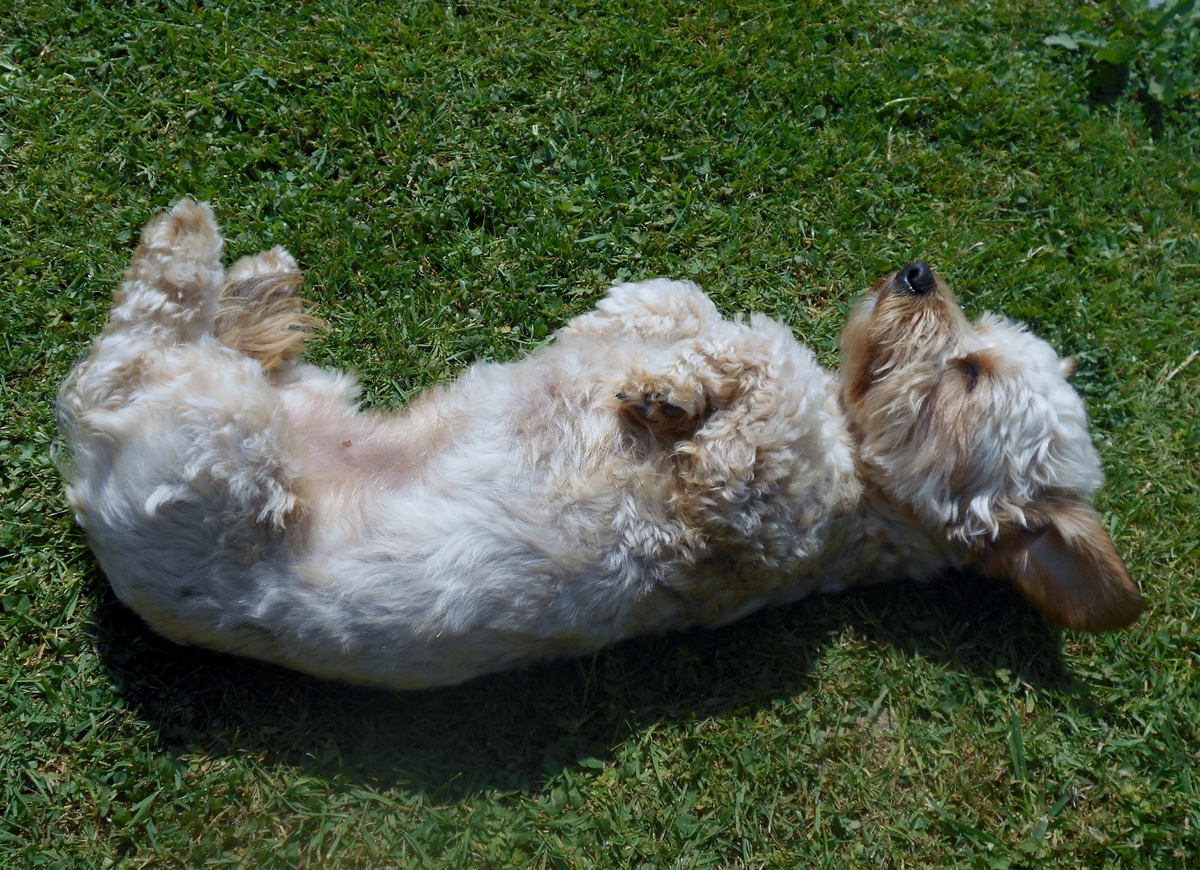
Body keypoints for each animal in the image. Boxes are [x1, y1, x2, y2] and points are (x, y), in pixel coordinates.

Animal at [56, 200, 1144, 690]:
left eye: (969, 375)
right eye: (974, 343)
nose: (917, 274)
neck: (868, 490)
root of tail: (91, 505)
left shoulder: (752, 504)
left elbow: (752, 387)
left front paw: (678, 383)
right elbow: (674, 306)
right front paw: (660, 344)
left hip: (211, 450)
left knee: (130, 347)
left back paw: (193, 247)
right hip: (276, 404)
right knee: (181, 347)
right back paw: (259, 288)